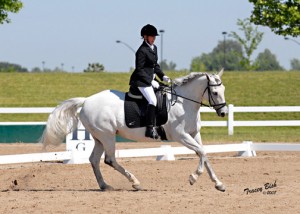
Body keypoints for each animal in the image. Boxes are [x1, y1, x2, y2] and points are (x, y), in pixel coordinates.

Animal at [39, 70, 227, 192]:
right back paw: (135, 182)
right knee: (110, 159)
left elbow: (204, 153)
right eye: (215, 92)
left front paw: (218, 184)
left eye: (223, 90)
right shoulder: (181, 136)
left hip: (100, 138)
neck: (183, 102)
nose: (223, 112)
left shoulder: (194, 134)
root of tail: (85, 101)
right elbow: (201, 152)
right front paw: (193, 178)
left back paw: (105, 185)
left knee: (94, 160)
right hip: (107, 136)